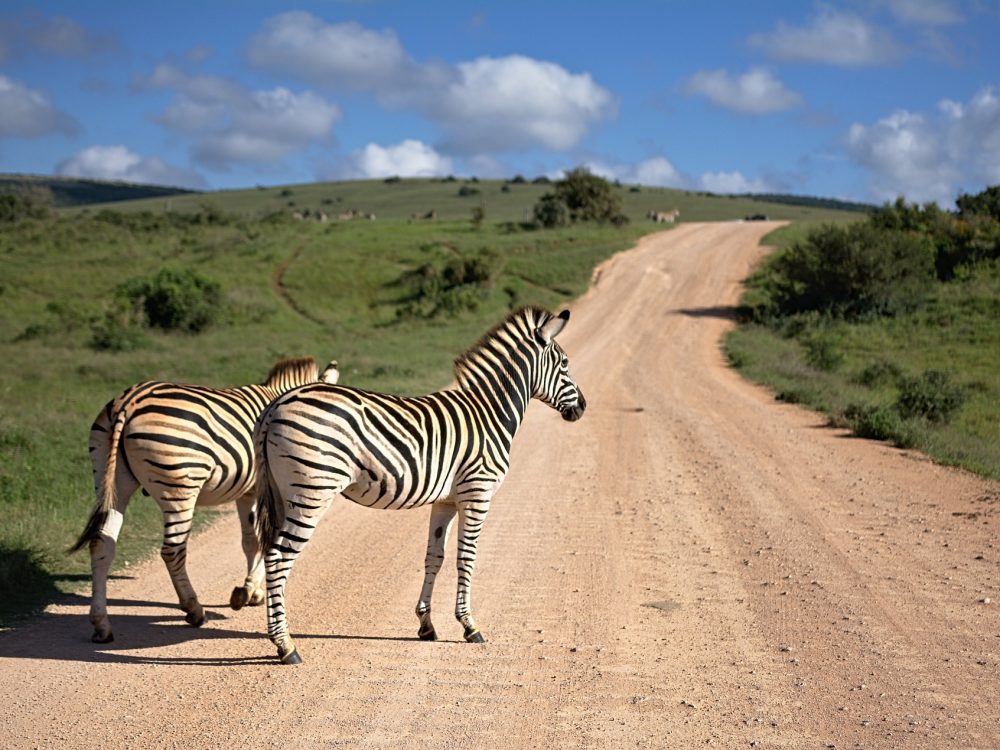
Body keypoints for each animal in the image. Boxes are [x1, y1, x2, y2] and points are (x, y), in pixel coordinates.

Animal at [71, 356, 339, 644]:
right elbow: (265, 540)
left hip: (111, 480)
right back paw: (194, 609)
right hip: (179, 486)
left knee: (101, 544)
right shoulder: (265, 489)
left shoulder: (248, 491)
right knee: (173, 550)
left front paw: (251, 591)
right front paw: (248, 591)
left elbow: (251, 541)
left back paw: (101, 624)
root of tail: (128, 401)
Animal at [253, 306, 586, 664]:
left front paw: (426, 625)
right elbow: (467, 557)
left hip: (284, 493)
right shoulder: (477, 493)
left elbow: (434, 556)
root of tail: (276, 405)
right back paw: (286, 645)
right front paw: (470, 626)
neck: (490, 413)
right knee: (278, 557)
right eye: (564, 363)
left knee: (270, 553)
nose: (582, 407)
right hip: (312, 491)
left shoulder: (446, 500)